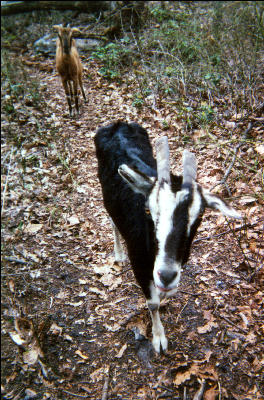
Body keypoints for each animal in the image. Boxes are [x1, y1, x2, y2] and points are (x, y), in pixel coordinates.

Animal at [94, 122, 241, 354]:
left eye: (199, 216)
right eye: (147, 210)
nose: (166, 274)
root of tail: (117, 125)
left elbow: (167, 293)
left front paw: (165, 296)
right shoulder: (139, 265)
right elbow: (152, 303)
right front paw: (159, 338)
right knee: (111, 219)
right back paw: (118, 254)